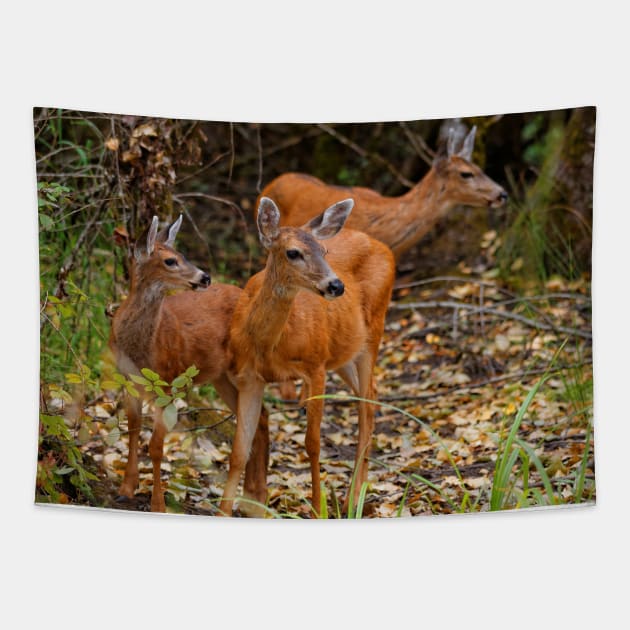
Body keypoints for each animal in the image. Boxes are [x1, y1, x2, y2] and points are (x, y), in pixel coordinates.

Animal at [111, 216, 270, 512]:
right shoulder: (129, 379)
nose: (205, 277)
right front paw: (126, 489)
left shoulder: (168, 381)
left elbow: (156, 446)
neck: (144, 347)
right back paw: (254, 499)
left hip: (244, 367)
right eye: (170, 260)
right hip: (220, 376)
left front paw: (158, 504)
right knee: (263, 417)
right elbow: (133, 430)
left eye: (183, 255)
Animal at [218, 198, 396, 520]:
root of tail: (382, 246)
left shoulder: (316, 365)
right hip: (345, 351)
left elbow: (312, 442)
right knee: (372, 394)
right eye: (293, 252)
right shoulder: (249, 378)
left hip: (373, 330)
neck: (270, 346)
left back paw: (353, 500)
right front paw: (222, 512)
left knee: (366, 405)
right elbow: (239, 449)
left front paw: (317, 508)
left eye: (324, 251)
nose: (336, 285)